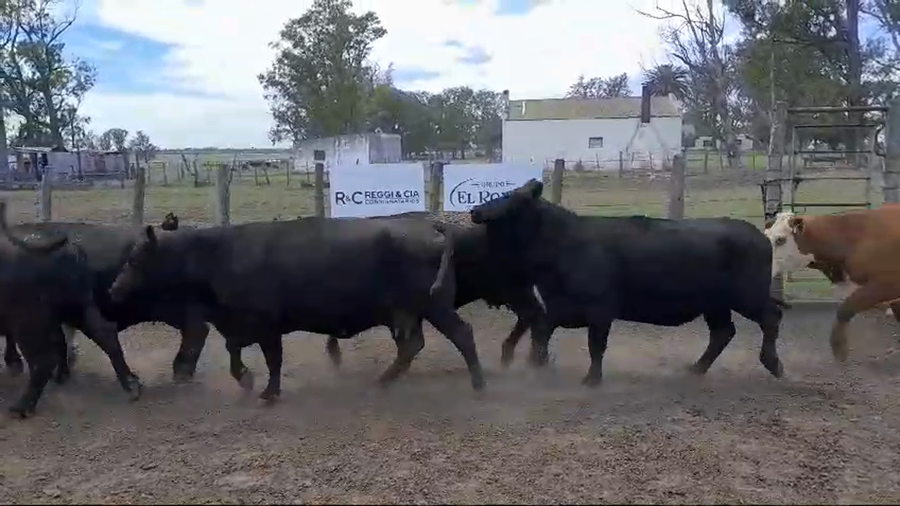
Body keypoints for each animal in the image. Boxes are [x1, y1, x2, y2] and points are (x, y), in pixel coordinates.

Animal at [0, 202, 143, 417]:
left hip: (29, 321)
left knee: (42, 360)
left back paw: (22, 406)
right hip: (75, 308)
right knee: (104, 334)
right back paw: (130, 384)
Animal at [107, 217, 485, 401]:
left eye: (136, 260)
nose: (113, 289)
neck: (217, 254)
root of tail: (430, 226)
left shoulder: (266, 325)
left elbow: (273, 358)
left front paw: (268, 391)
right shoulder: (240, 324)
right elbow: (233, 351)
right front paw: (246, 378)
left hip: (434, 306)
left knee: (462, 335)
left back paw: (478, 384)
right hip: (405, 312)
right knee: (410, 346)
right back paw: (382, 381)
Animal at [469, 179, 786, 386]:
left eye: (511, 199)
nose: (475, 210)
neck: (564, 242)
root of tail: (758, 235)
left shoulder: (600, 308)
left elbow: (596, 344)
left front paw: (591, 378)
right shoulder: (561, 305)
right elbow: (543, 329)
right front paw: (536, 363)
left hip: (747, 296)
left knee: (771, 317)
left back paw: (773, 363)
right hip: (715, 305)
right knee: (723, 332)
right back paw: (696, 369)